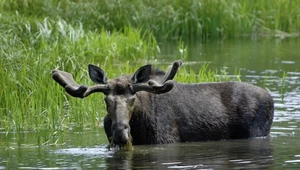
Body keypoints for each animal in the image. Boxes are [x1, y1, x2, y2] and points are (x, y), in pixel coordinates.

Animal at [52, 60, 274, 148]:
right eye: (107, 100)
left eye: (133, 99)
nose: (120, 133)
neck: (139, 125)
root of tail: (270, 97)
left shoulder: (166, 140)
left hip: (257, 132)